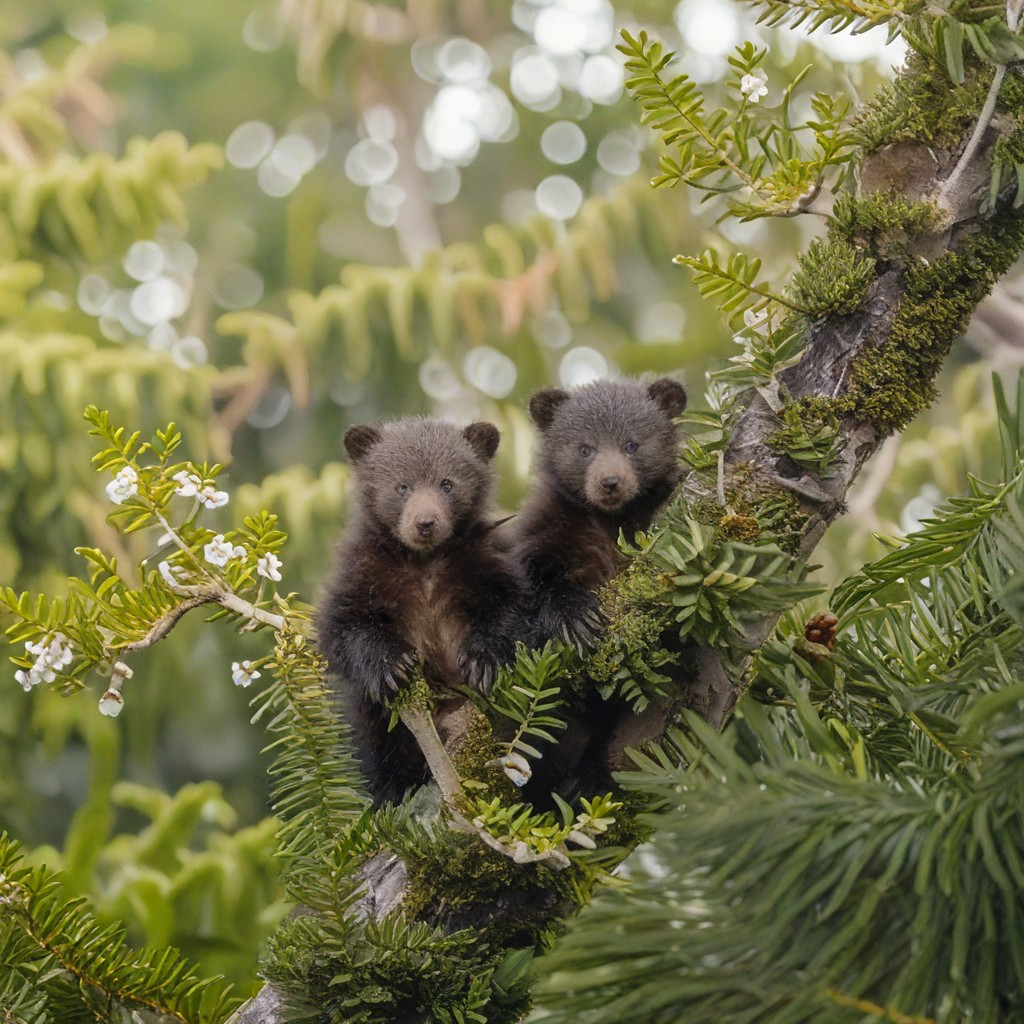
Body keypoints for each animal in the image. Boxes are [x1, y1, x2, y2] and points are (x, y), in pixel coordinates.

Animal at [316, 417, 527, 806]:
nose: (425, 523)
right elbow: (342, 627)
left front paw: (482, 660)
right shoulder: (364, 570)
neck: (423, 563)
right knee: (384, 746)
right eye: (402, 485)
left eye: (447, 483)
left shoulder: (482, 560)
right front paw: (391, 664)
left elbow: (510, 605)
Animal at [509, 376, 687, 802]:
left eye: (632, 444)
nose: (610, 482)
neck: (609, 521)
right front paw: (578, 619)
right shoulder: (552, 528)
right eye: (585, 448)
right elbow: (535, 577)